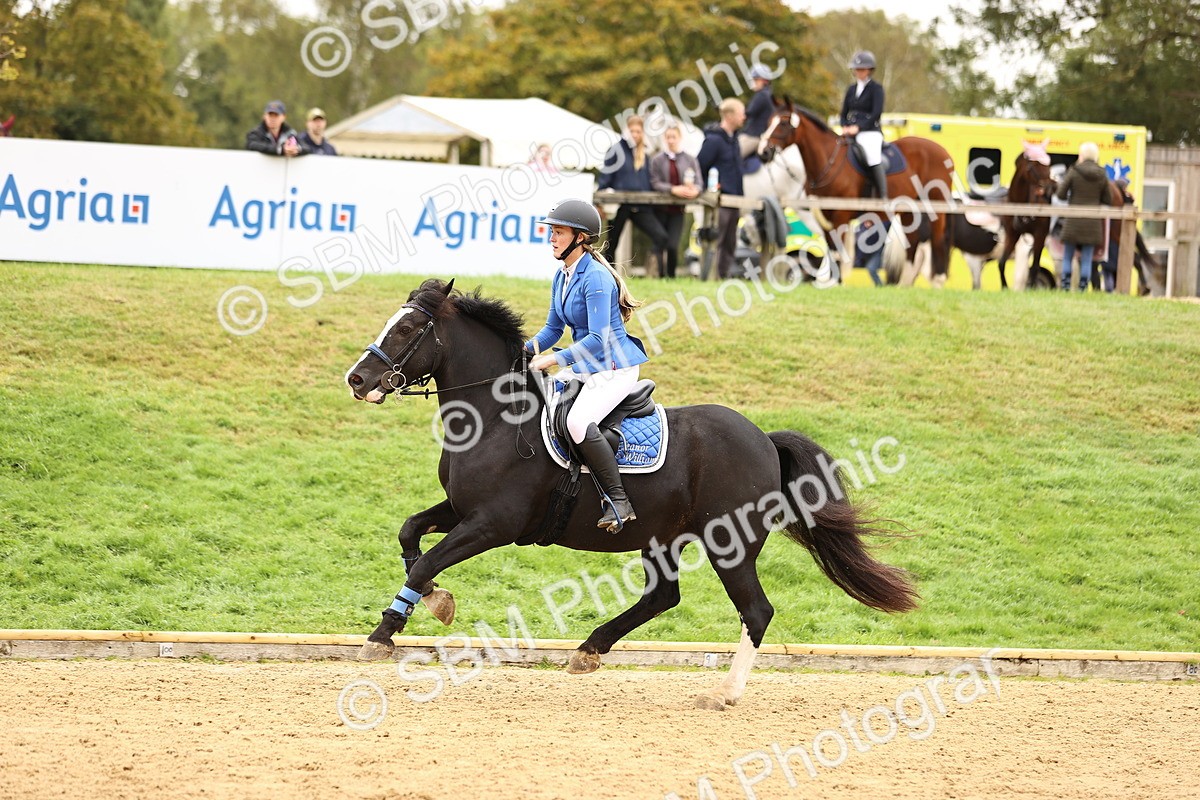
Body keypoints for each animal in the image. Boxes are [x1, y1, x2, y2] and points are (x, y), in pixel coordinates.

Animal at [345, 279, 919, 709]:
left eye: (409, 328)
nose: (357, 379)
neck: (494, 418)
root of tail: (763, 439)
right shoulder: (462, 510)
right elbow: (411, 536)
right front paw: (432, 600)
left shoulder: (494, 523)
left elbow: (426, 560)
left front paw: (384, 634)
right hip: (663, 538)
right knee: (663, 595)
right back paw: (589, 650)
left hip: (728, 545)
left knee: (755, 612)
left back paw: (724, 693)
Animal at [761, 100, 956, 286]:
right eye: (769, 122)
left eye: (783, 123)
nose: (764, 153)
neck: (829, 162)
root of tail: (943, 151)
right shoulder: (825, 215)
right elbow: (831, 247)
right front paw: (832, 281)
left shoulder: (840, 214)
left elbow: (837, 248)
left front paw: (833, 282)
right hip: (909, 210)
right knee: (912, 241)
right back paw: (904, 284)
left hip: (936, 207)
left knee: (937, 240)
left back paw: (938, 281)